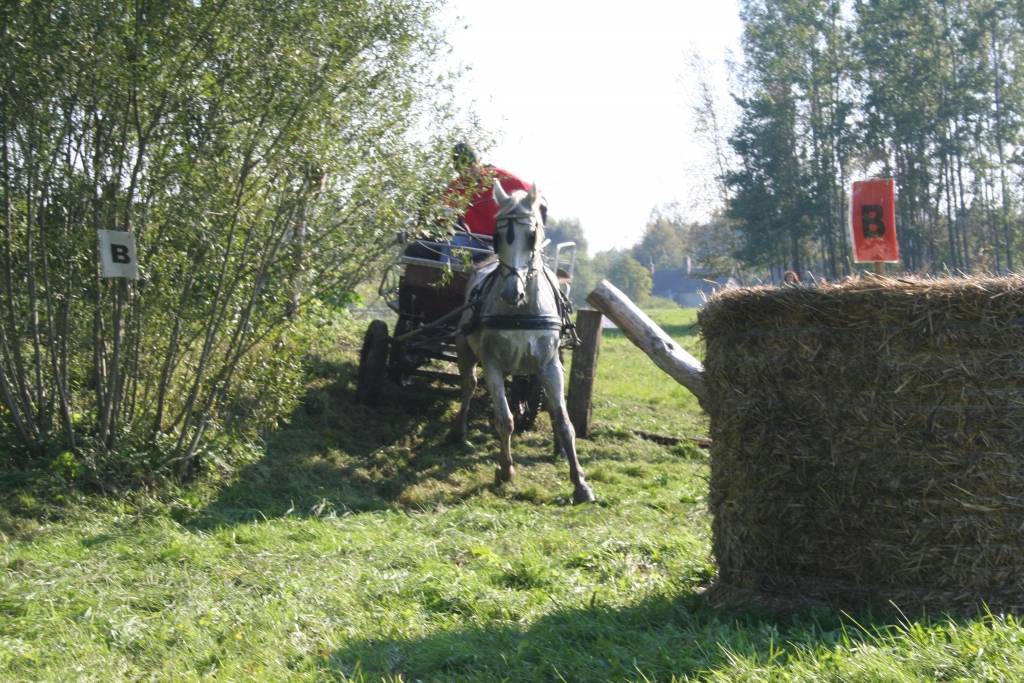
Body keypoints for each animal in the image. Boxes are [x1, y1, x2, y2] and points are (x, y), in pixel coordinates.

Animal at [452, 181, 598, 501]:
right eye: (496, 237)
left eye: (532, 236)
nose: (511, 293)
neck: (521, 311)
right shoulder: (492, 365)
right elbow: (503, 419)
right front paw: (505, 470)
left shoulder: (550, 365)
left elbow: (564, 420)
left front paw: (580, 482)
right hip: (464, 350)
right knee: (469, 385)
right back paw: (459, 431)